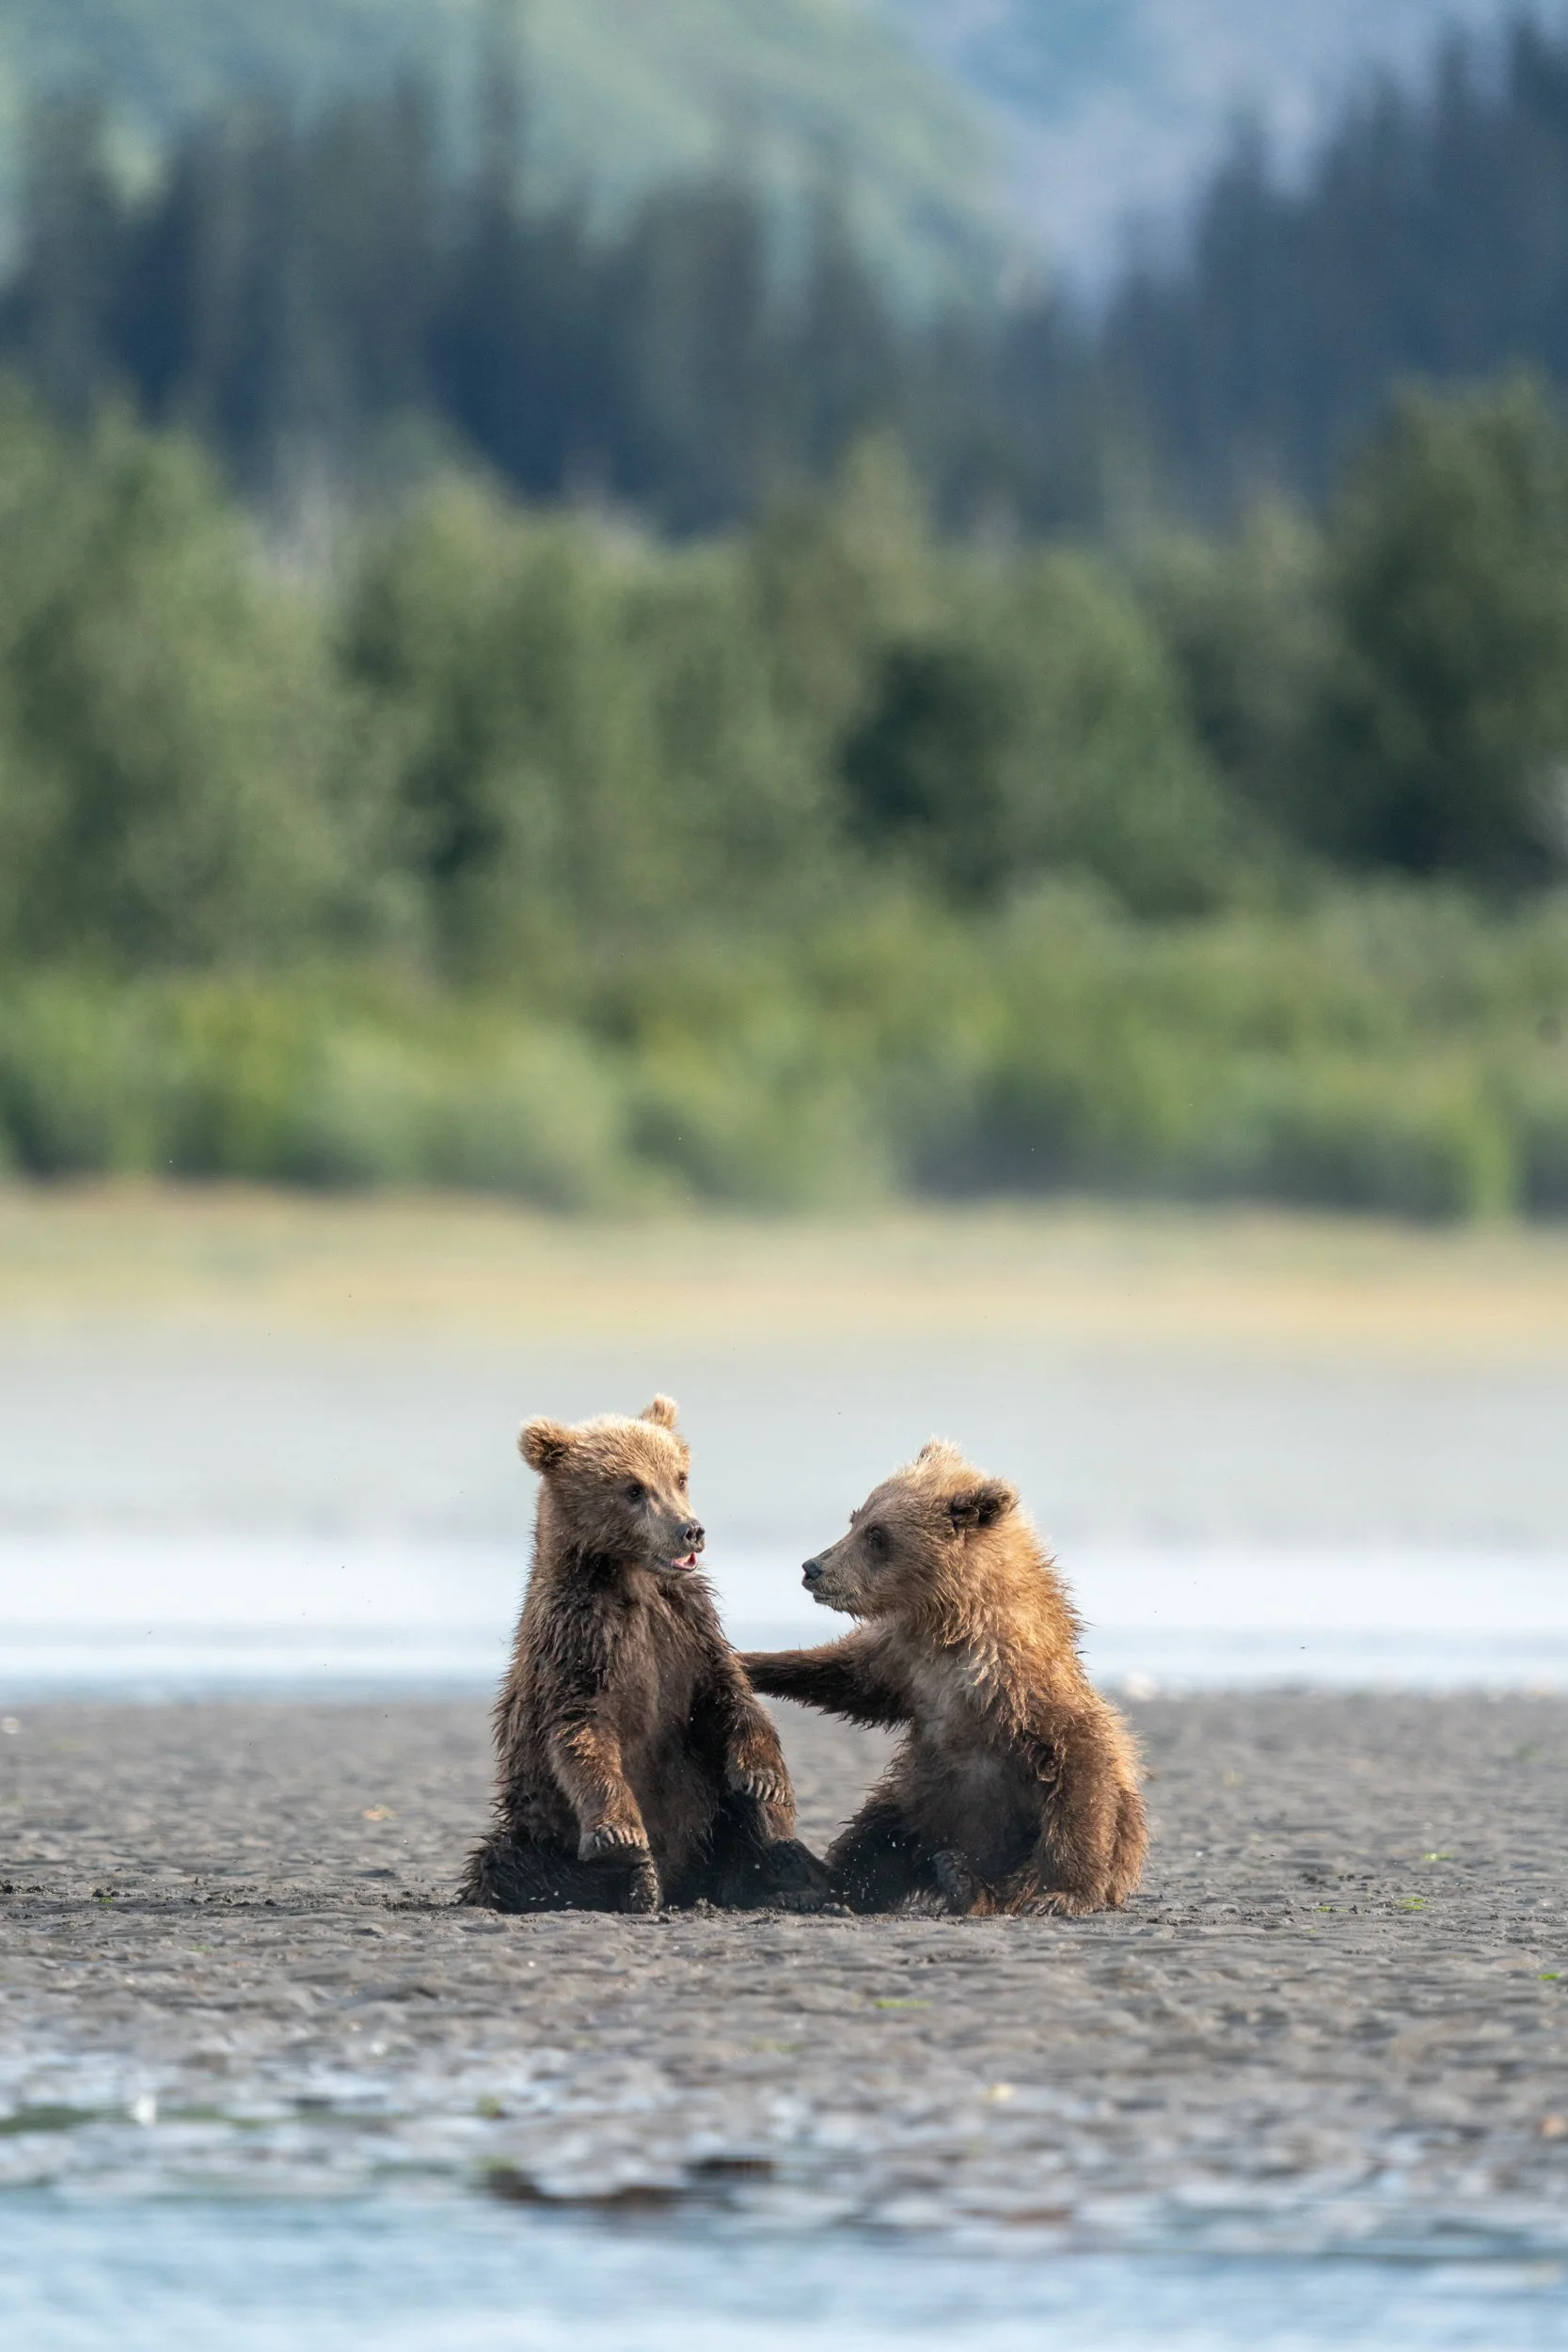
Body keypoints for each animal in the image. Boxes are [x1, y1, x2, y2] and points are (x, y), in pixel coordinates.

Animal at [459, 1395, 828, 1914]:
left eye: (679, 1476)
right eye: (633, 1488)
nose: (690, 1530)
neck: (632, 1581)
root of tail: (688, 1884)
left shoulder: (689, 1630)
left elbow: (730, 1696)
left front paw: (764, 1777)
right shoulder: (579, 1639)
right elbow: (581, 1732)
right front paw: (620, 1834)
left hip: (714, 1828)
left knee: (745, 1823)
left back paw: (792, 1876)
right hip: (537, 1832)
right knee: (505, 1866)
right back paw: (638, 1880)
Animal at [741, 1440, 1146, 1917]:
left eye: (878, 1535)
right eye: (855, 1520)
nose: (813, 1567)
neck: (953, 1626)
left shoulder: (1023, 1686)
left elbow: (1080, 1773)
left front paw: (1063, 1894)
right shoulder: (907, 1664)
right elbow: (851, 1679)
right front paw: (750, 1660)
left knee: (1016, 1868)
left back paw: (968, 1884)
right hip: (918, 1800)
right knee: (875, 1836)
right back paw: (811, 1875)